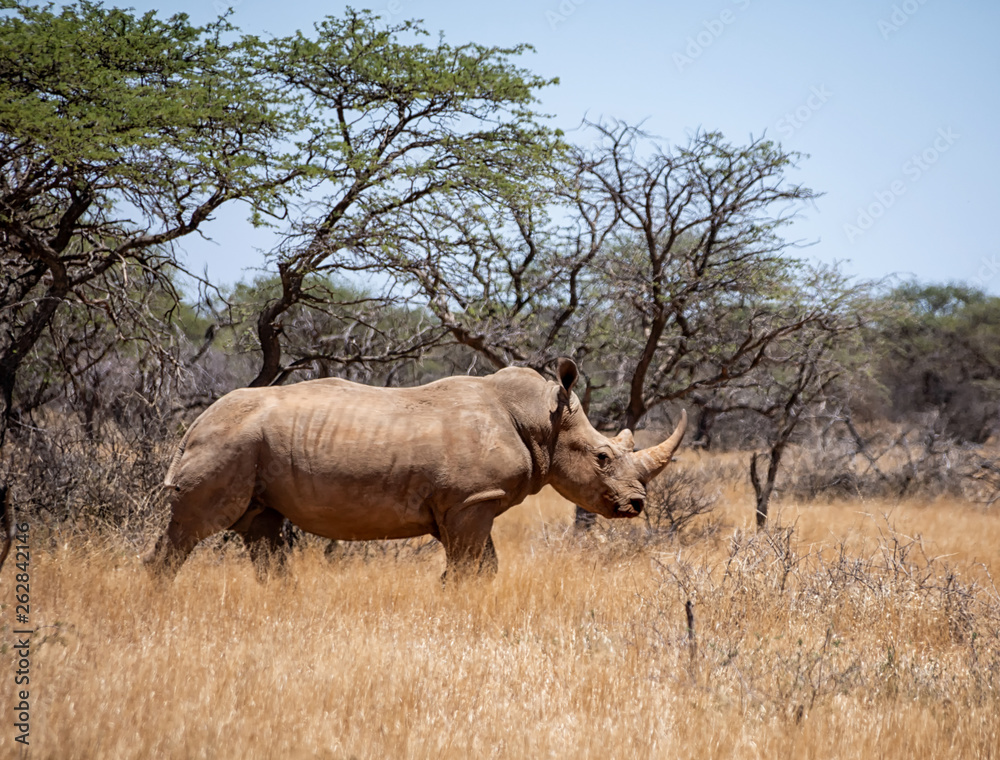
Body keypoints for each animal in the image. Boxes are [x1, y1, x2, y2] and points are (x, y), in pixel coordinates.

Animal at [143, 359, 686, 580]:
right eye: (602, 457)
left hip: (248, 447)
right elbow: (469, 569)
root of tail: (193, 426)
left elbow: (482, 567)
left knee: (261, 528)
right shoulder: (472, 500)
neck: (541, 420)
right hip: (228, 444)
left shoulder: (462, 504)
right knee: (194, 529)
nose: (636, 505)